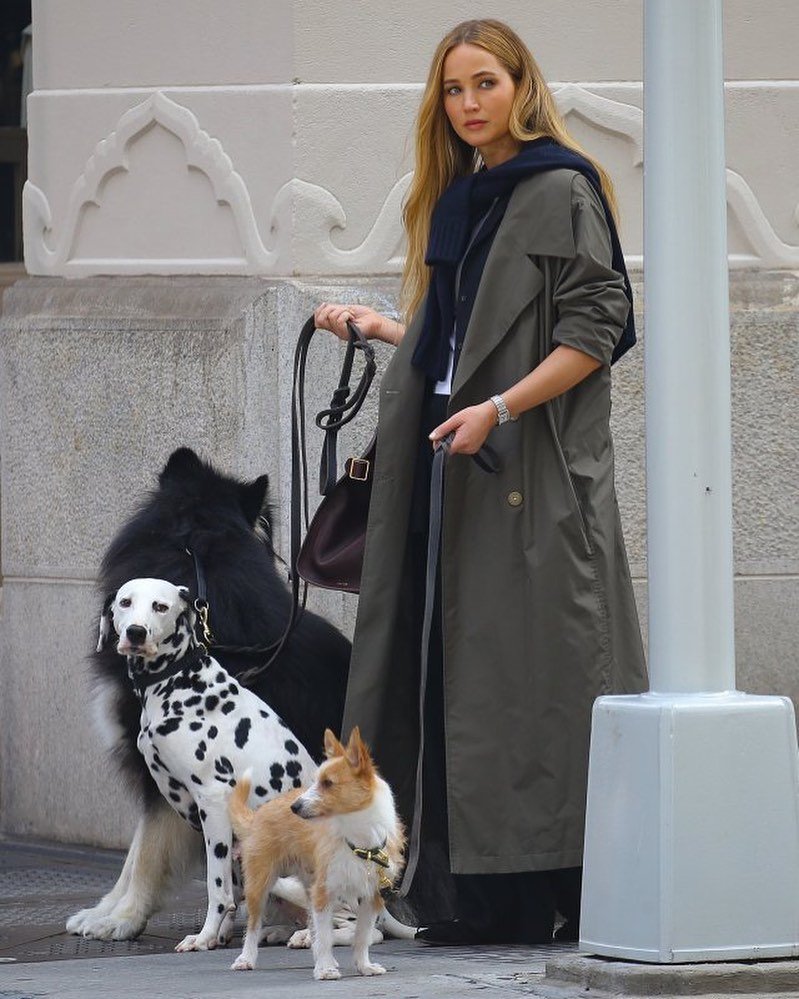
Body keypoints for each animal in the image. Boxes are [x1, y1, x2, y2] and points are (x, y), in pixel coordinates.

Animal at [96, 580, 316, 952]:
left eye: (160, 606)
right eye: (125, 603)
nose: (136, 632)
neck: (178, 680)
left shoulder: (212, 800)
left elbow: (218, 889)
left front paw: (204, 936)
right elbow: (230, 886)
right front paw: (218, 935)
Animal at [230, 728, 406, 984]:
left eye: (328, 783)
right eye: (314, 782)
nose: (295, 807)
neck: (359, 841)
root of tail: (258, 815)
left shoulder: (371, 897)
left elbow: (362, 936)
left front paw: (363, 966)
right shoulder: (324, 892)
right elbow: (325, 937)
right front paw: (324, 970)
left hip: (308, 887)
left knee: (314, 927)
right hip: (260, 884)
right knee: (253, 926)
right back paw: (246, 958)